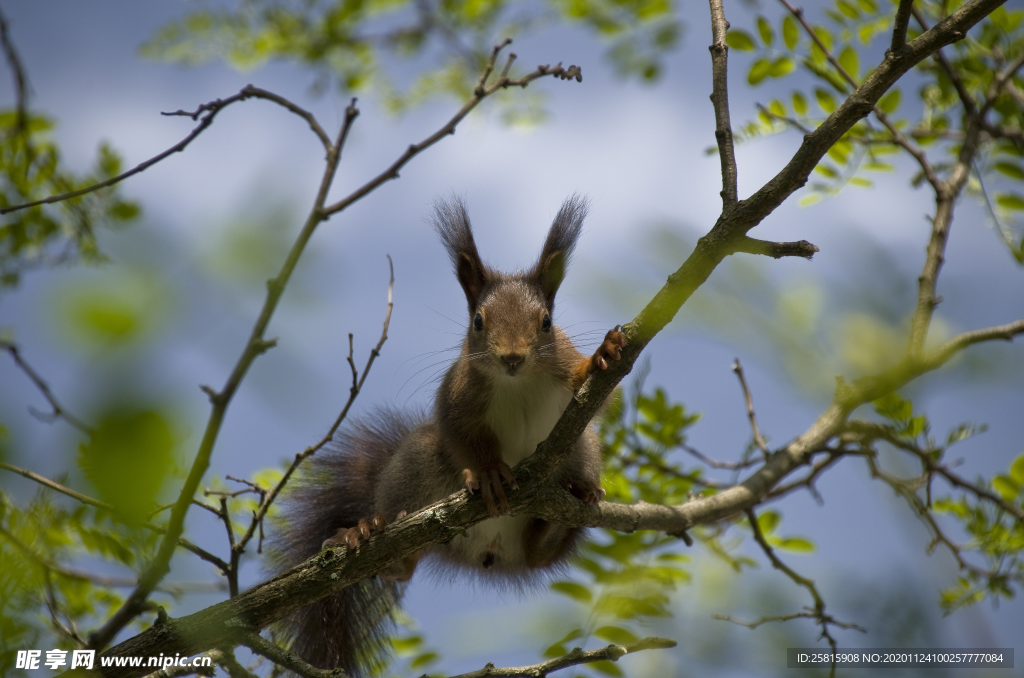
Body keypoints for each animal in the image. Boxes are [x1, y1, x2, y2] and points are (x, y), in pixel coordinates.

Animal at [268, 196, 626, 678]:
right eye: (478, 321)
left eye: (547, 322)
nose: (512, 357)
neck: (516, 382)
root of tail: (490, 552)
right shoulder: (457, 394)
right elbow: (462, 436)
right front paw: (489, 472)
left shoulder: (564, 368)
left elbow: (596, 392)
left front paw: (604, 355)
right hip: (417, 465)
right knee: (402, 563)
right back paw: (364, 532)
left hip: (581, 449)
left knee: (541, 553)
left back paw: (575, 499)